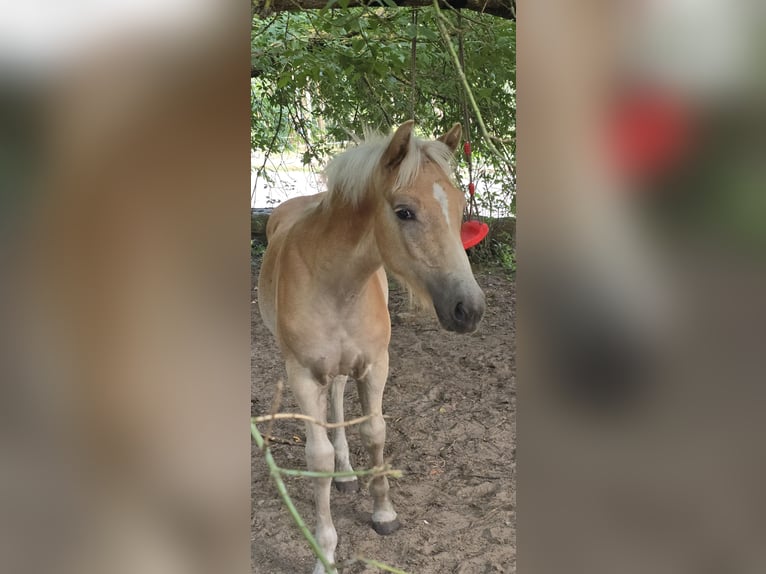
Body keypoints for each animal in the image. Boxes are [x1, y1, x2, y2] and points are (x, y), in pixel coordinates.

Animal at [258, 119, 486, 572]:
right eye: (404, 211)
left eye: (457, 205)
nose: (469, 309)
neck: (336, 284)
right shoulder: (303, 375)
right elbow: (318, 457)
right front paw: (325, 551)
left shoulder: (376, 365)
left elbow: (375, 431)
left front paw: (383, 512)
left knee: (339, 398)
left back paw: (348, 474)